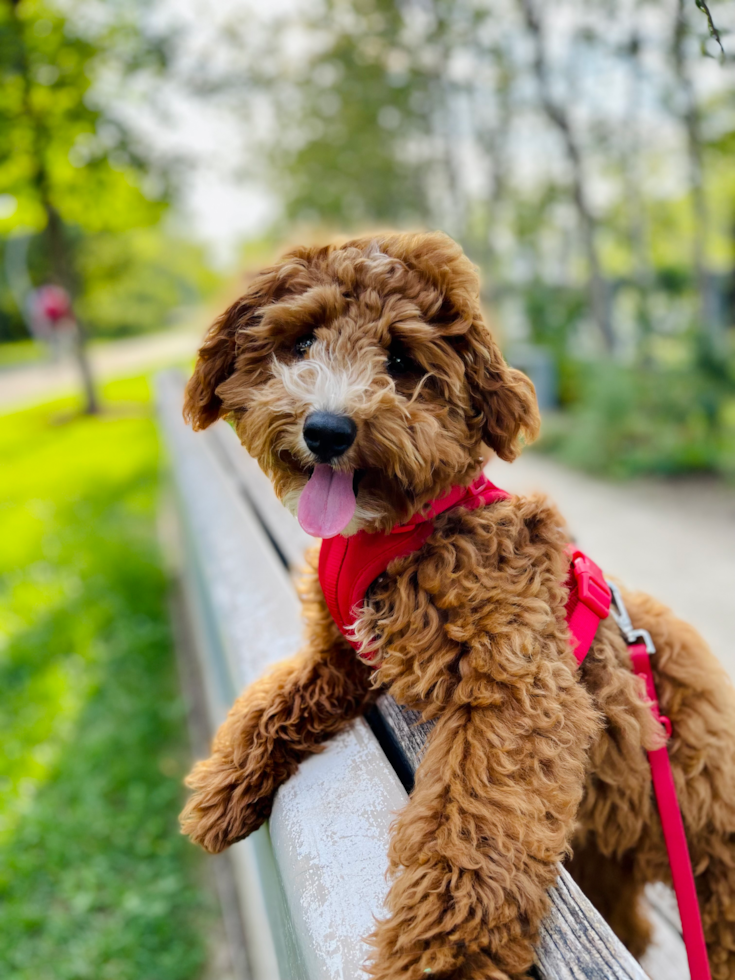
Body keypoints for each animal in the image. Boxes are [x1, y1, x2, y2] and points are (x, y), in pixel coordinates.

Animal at [178, 232, 735, 980]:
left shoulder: (517, 693)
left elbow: (473, 823)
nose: (327, 429)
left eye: (400, 360)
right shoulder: (344, 651)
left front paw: (442, 950)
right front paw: (223, 783)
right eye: (300, 343)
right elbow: (277, 698)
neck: (403, 529)